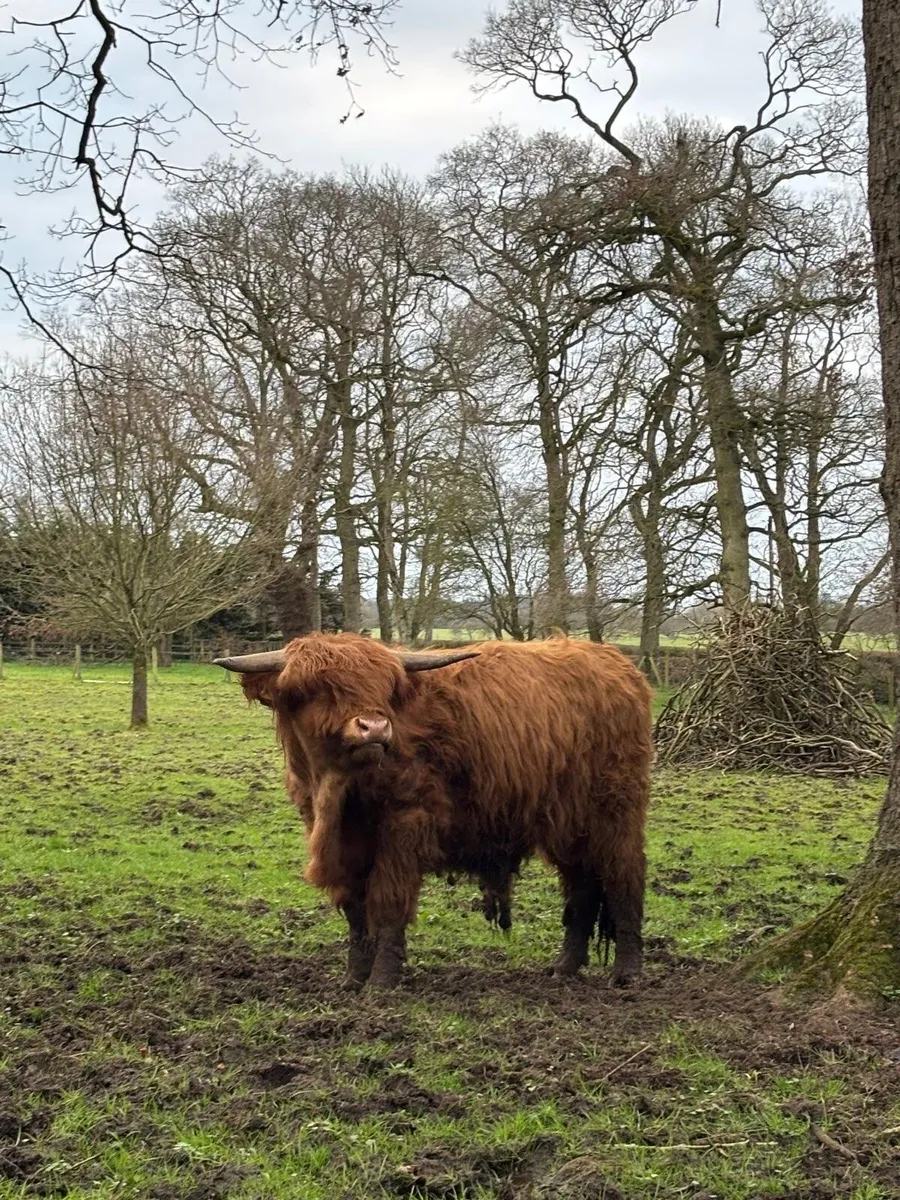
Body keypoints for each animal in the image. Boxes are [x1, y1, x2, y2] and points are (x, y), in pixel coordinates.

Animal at [215, 632, 653, 991]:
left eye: (385, 686)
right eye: (316, 688)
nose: (374, 727)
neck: (339, 790)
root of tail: (616, 663)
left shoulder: (405, 824)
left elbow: (387, 902)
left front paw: (381, 983)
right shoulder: (342, 841)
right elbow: (356, 910)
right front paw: (353, 978)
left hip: (615, 811)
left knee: (623, 878)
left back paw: (626, 973)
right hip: (568, 825)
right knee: (581, 888)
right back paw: (564, 968)